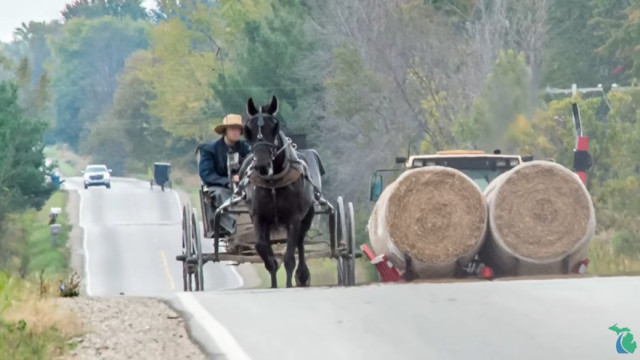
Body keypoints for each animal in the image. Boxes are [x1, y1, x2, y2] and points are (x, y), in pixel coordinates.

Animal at [242, 97, 318, 288]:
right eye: (248, 129)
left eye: (274, 127)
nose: (262, 165)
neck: (273, 183)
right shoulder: (259, 218)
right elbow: (261, 247)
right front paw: (273, 277)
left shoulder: (294, 219)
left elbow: (290, 256)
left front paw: (290, 283)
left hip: (307, 217)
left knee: (300, 242)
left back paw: (302, 275)